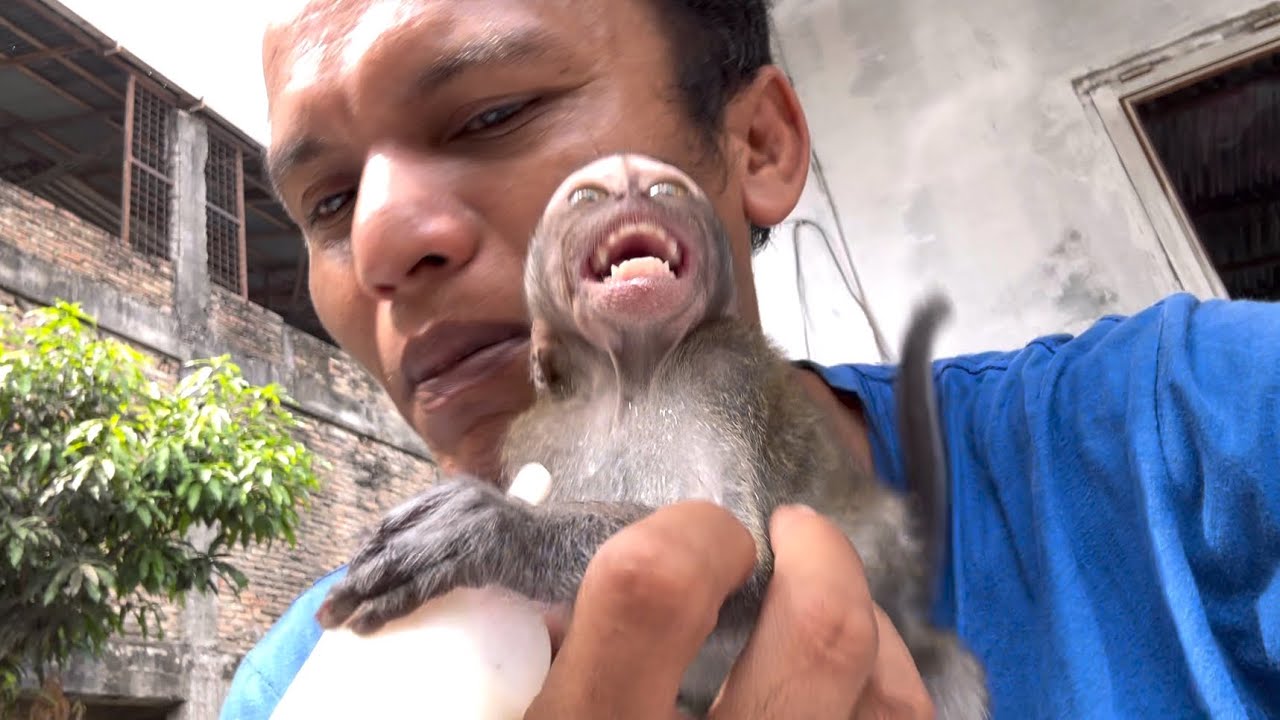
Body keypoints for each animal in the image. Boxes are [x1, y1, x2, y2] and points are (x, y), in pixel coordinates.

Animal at [316, 153, 989, 718]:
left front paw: (501, 529)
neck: (629, 378)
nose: (631, 179)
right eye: (588, 196)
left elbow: (748, 556)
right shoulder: (537, 433)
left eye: (666, 190)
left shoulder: (724, 374)